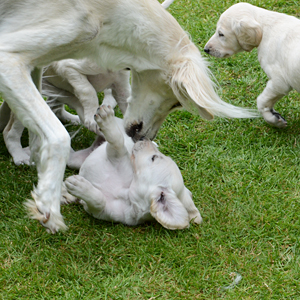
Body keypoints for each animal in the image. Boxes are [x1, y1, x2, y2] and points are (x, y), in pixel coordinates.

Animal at [64, 105, 203, 230]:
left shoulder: (100, 211)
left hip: (76, 159)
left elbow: (99, 201)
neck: (125, 195)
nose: (143, 138)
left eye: (154, 158)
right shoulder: (118, 155)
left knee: (68, 156)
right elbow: (118, 141)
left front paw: (80, 186)